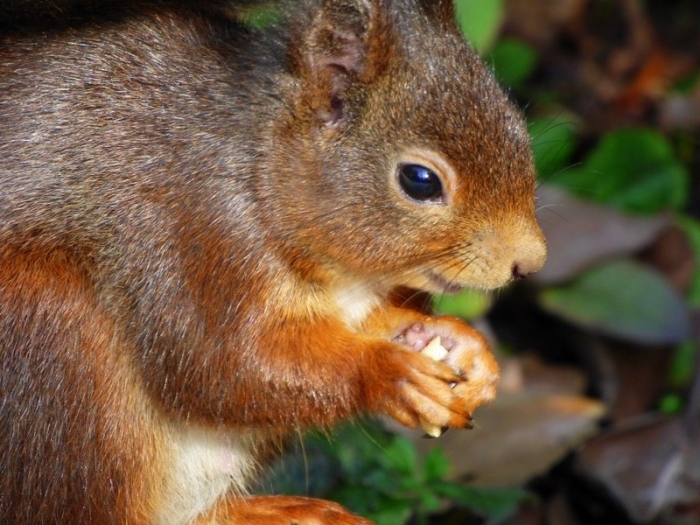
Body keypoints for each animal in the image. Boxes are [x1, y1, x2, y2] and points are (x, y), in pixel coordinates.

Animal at [0, 0, 546, 523]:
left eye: (519, 129)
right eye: (419, 180)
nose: (530, 261)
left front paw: (465, 347)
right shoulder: (191, 235)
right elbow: (218, 365)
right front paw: (386, 372)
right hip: (51, 335)